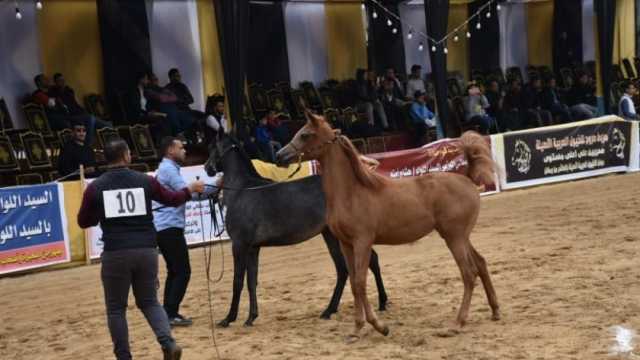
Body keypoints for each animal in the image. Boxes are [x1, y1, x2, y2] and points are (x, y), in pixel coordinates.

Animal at [205, 134, 388, 328]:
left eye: (212, 147)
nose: (207, 168)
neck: (242, 190)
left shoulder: (240, 245)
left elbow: (237, 281)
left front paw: (228, 318)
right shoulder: (253, 248)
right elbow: (251, 281)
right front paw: (251, 317)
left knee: (357, 265)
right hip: (334, 236)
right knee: (353, 266)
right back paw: (340, 308)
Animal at [276, 112, 500, 340]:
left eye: (305, 135)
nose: (279, 156)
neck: (351, 193)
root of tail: (467, 178)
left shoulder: (363, 242)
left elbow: (360, 282)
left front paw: (378, 326)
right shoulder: (346, 244)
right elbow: (354, 283)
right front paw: (357, 328)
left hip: (455, 238)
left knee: (469, 274)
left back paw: (457, 323)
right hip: (460, 236)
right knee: (481, 264)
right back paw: (495, 311)